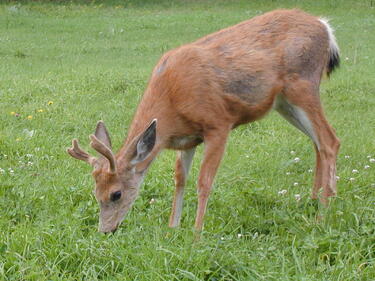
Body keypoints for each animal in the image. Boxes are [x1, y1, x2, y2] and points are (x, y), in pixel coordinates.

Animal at [67, 8, 340, 233]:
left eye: (116, 194)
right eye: (95, 192)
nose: (105, 230)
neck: (171, 102)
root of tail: (325, 26)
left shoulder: (218, 124)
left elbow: (204, 181)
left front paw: (197, 234)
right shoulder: (188, 139)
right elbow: (180, 179)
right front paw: (172, 228)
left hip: (302, 85)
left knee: (330, 140)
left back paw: (324, 213)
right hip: (284, 103)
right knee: (316, 143)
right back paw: (313, 201)